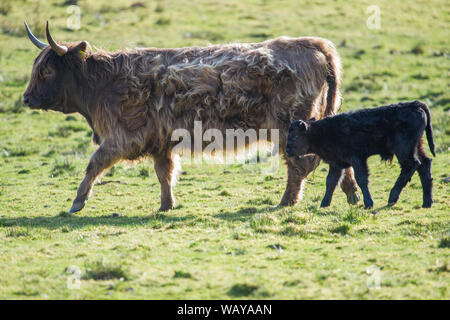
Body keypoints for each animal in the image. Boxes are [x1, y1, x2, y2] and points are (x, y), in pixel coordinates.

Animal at [22, 21, 358, 212]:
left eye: (46, 70)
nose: (26, 98)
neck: (101, 85)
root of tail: (315, 43)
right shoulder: (160, 142)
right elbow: (164, 173)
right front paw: (166, 206)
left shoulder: (122, 138)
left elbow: (94, 165)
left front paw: (77, 202)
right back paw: (353, 195)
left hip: (290, 127)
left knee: (300, 164)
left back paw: (287, 201)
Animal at [286, 101, 434, 209]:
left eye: (294, 136)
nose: (287, 150)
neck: (322, 131)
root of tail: (413, 105)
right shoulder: (336, 163)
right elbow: (331, 182)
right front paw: (324, 204)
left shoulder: (357, 159)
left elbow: (361, 179)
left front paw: (369, 203)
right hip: (417, 146)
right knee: (424, 164)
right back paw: (427, 202)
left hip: (403, 150)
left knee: (412, 165)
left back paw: (392, 198)